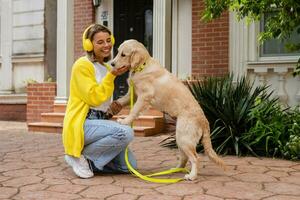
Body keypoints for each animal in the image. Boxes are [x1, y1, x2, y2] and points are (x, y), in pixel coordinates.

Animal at [110, 38, 225, 180]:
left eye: (123, 55)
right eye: (117, 52)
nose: (111, 64)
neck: (143, 65)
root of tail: (204, 120)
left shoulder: (144, 96)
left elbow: (134, 110)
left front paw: (125, 120)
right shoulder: (135, 94)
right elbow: (123, 99)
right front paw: (114, 106)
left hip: (184, 137)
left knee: (195, 157)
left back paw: (192, 176)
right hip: (180, 137)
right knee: (184, 157)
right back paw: (176, 169)